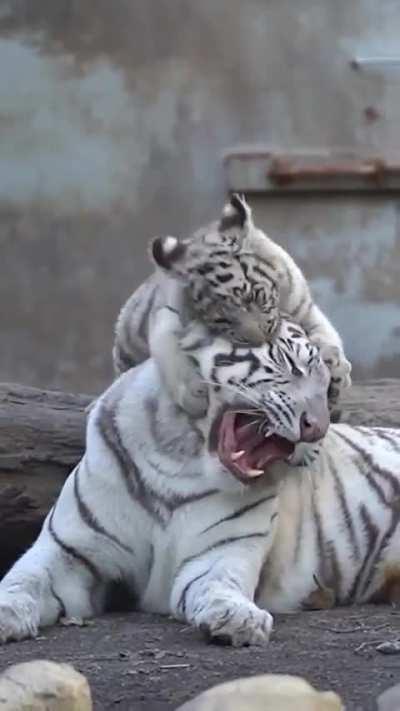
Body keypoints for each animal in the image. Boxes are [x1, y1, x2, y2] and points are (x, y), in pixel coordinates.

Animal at [0, 317, 398, 647]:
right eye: (291, 365)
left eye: (329, 387)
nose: (318, 427)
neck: (176, 461)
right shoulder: (67, 550)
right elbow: (23, 579)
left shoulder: (220, 552)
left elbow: (219, 583)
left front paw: (238, 619)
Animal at [113, 193, 351, 421]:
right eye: (222, 319)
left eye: (256, 297)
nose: (259, 340)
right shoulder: (166, 315)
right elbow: (170, 353)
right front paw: (195, 396)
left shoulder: (304, 308)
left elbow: (325, 335)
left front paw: (335, 369)